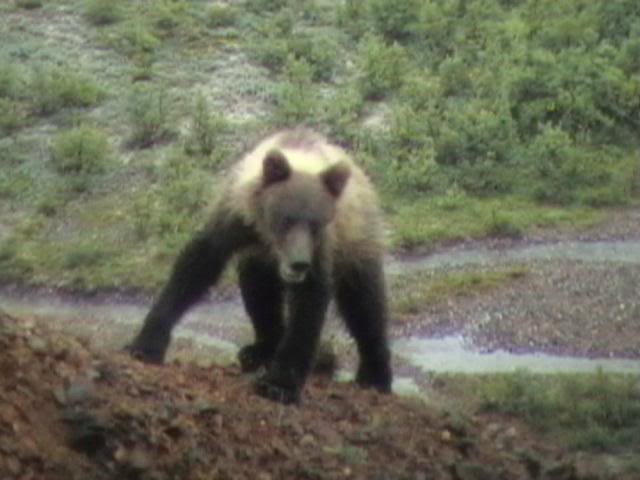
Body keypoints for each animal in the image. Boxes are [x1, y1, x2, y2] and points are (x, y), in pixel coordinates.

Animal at [128, 128, 392, 403]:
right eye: (286, 219)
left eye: (316, 224)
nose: (299, 263)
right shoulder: (234, 218)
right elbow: (197, 266)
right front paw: (145, 344)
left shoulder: (322, 249)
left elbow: (309, 304)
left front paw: (280, 384)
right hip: (258, 261)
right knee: (259, 293)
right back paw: (259, 350)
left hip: (358, 240)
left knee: (365, 305)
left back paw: (375, 375)